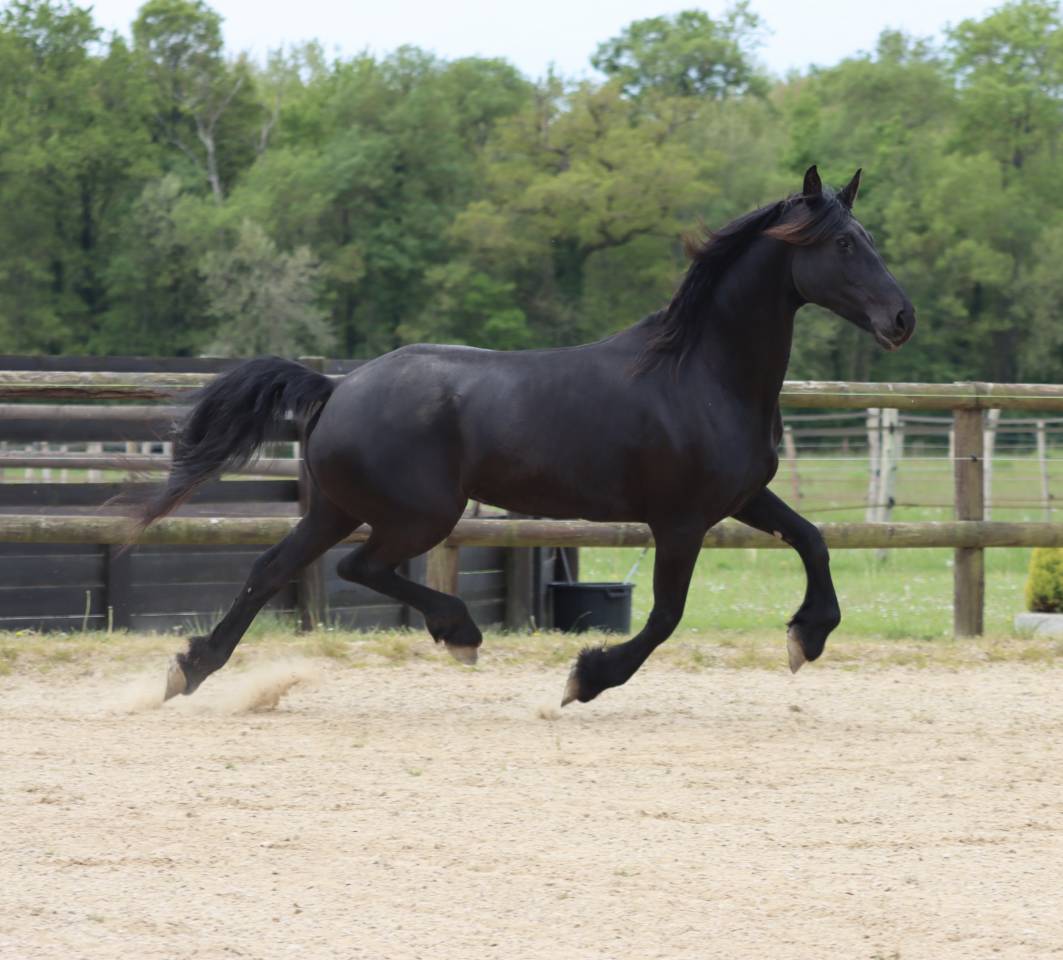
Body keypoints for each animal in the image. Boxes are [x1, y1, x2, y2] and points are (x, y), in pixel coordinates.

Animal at [141, 165, 914, 705]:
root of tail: (337, 389)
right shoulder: (682, 520)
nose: (902, 319)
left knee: (270, 568)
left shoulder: (742, 499)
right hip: (420, 515)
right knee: (360, 568)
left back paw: (190, 670)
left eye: (871, 240)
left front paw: (807, 635)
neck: (700, 373)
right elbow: (666, 615)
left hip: (337, 507)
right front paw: (587, 677)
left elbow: (813, 540)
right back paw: (459, 632)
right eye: (844, 243)